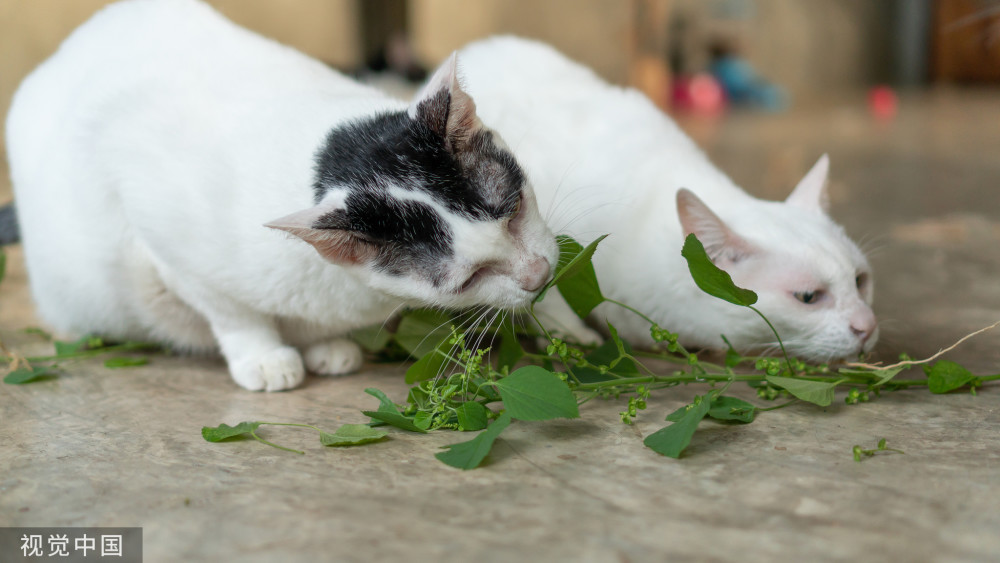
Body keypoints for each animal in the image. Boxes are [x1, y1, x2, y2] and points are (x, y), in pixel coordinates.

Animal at [3, 2, 560, 392]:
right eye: (471, 278)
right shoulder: (166, 243)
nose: (539, 276)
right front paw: (265, 357)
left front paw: (324, 344)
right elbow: (232, 312)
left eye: (514, 210)